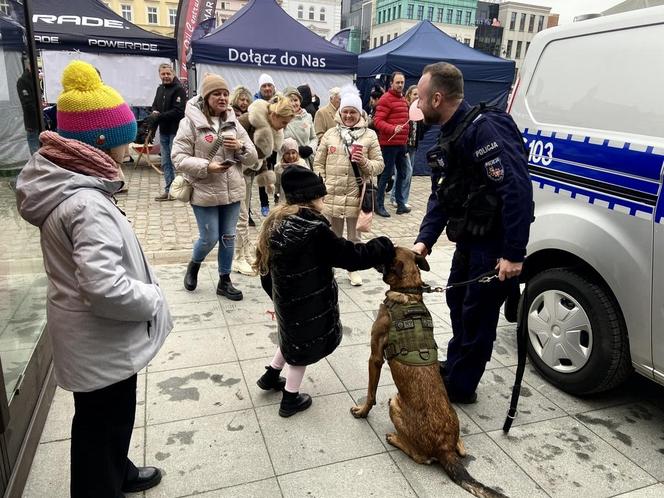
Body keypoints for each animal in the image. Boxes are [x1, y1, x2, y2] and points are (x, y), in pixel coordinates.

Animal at [350, 248, 506, 498]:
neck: (409, 292)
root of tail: (445, 448)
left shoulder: (375, 357)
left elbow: (371, 393)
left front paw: (362, 411)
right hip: (452, 431)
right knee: (462, 450)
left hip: (395, 402)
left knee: (421, 457)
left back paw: (395, 438)